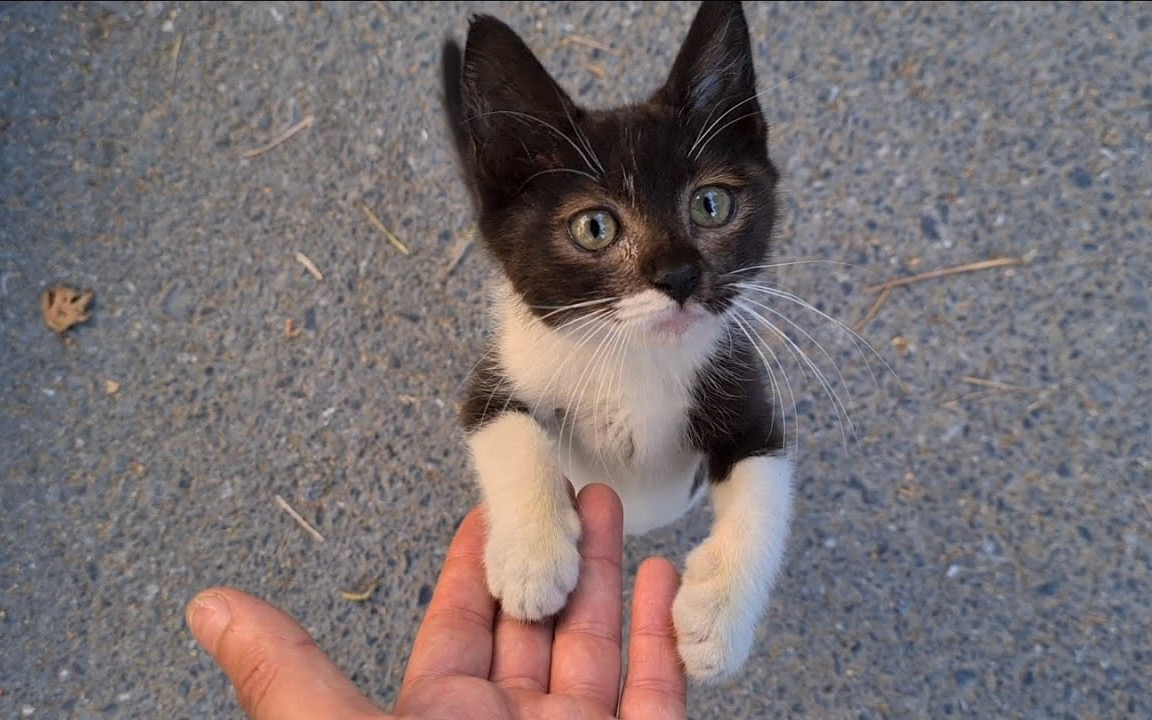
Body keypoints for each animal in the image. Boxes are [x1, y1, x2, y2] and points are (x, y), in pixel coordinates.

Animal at [440, 0, 792, 681]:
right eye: (595, 227)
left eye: (711, 204)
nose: (679, 276)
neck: (635, 356)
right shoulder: (503, 367)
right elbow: (506, 426)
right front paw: (533, 558)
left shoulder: (742, 381)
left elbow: (766, 485)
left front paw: (716, 619)